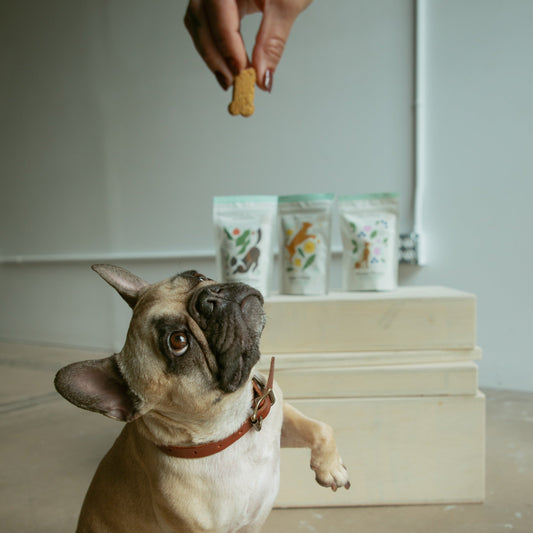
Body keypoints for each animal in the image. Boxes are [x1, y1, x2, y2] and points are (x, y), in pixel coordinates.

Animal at [55, 265, 350, 532]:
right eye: (178, 341)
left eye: (197, 276)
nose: (210, 297)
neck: (227, 430)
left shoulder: (274, 414)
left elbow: (320, 427)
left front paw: (331, 468)